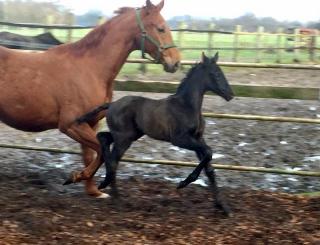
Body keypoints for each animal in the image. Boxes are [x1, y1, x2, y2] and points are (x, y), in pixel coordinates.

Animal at [0, 0, 180, 197]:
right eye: (161, 28)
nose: (176, 62)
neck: (90, 68)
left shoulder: (92, 123)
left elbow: (89, 155)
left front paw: (94, 191)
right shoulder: (71, 124)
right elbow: (102, 151)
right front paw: (76, 177)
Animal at [76, 52, 234, 214]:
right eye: (216, 73)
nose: (230, 94)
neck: (187, 106)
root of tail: (112, 104)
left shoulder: (198, 138)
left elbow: (209, 167)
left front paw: (223, 207)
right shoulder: (180, 139)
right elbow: (208, 152)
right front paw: (183, 183)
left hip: (130, 135)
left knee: (103, 138)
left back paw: (105, 184)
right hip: (124, 138)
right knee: (113, 159)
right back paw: (116, 198)